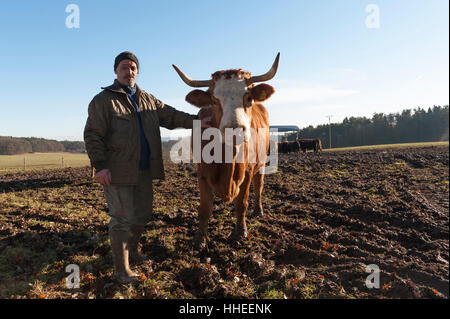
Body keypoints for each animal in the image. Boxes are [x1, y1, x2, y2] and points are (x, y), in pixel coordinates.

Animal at [171, 53, 280, 249]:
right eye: (214, 100)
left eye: (248, 98)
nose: (234, 130)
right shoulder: (202, 173)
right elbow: (205, 208)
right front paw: (200, 239)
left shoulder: (248, 170)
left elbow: (241, 203)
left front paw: (240, 232)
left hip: (261, 164)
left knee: (259, 186)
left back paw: (258, 210)